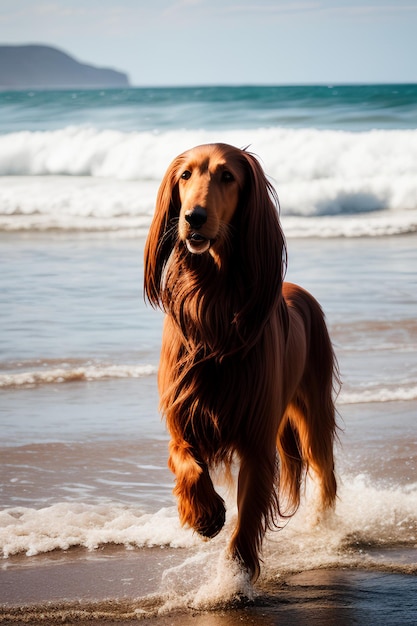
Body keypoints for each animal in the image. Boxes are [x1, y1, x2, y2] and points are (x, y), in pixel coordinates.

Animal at [143, 143, 338, 580]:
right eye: (185, 176)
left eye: (227, 176)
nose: (193, 217)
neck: (211, 300)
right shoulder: (184, 415)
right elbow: (186, 462)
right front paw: (205, 514)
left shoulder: (255, 438)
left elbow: (248, 517)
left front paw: (235, 576)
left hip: (314, 412)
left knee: (326, 474)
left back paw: (325, 528)